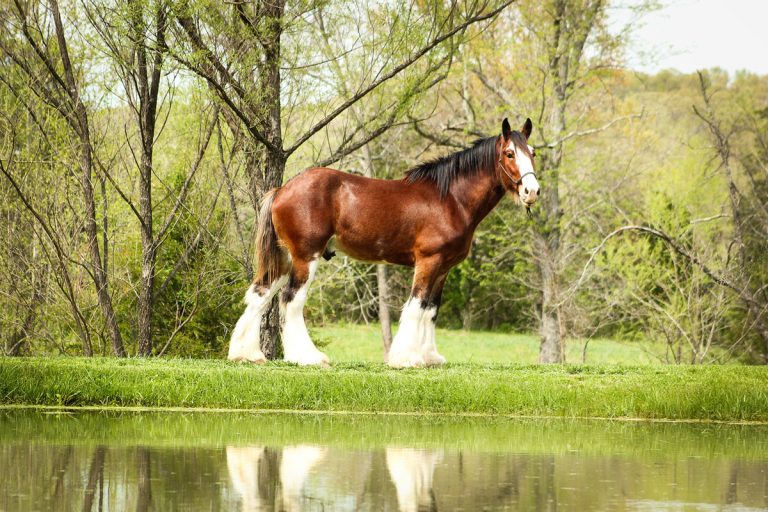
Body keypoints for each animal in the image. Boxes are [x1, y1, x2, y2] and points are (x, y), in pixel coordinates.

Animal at [228, 117, 540, 368]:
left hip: (284, 259)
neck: (451, 199)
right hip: (306, 257)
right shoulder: (428, 261)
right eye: (510, 154)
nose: (532, 191)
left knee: (260, 294)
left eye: (533, 153)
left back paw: (247, 354)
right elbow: (417, 305)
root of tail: (282, 189)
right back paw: (307, 357)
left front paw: (430, 357)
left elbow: (431, 309)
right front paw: (406, 358)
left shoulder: (444, 268)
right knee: (291, 300)